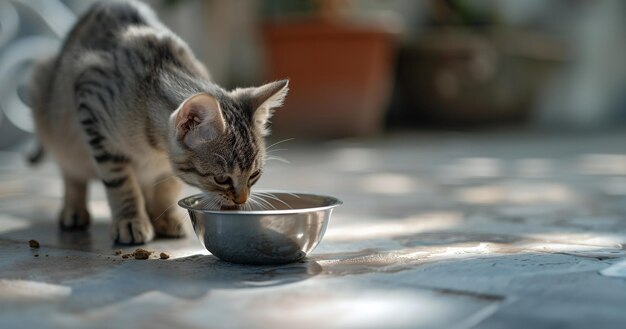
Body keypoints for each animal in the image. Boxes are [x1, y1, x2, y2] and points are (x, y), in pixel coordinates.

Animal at [26, 0, 286, 243]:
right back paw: (74, 209)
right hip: (50, 104)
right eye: (221, 178)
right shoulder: (92, 108)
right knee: (72, 172)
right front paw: (131, 220)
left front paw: (165, 217)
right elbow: (122, 183)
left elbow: (166, 185)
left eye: (254, 175)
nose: (241, 199)